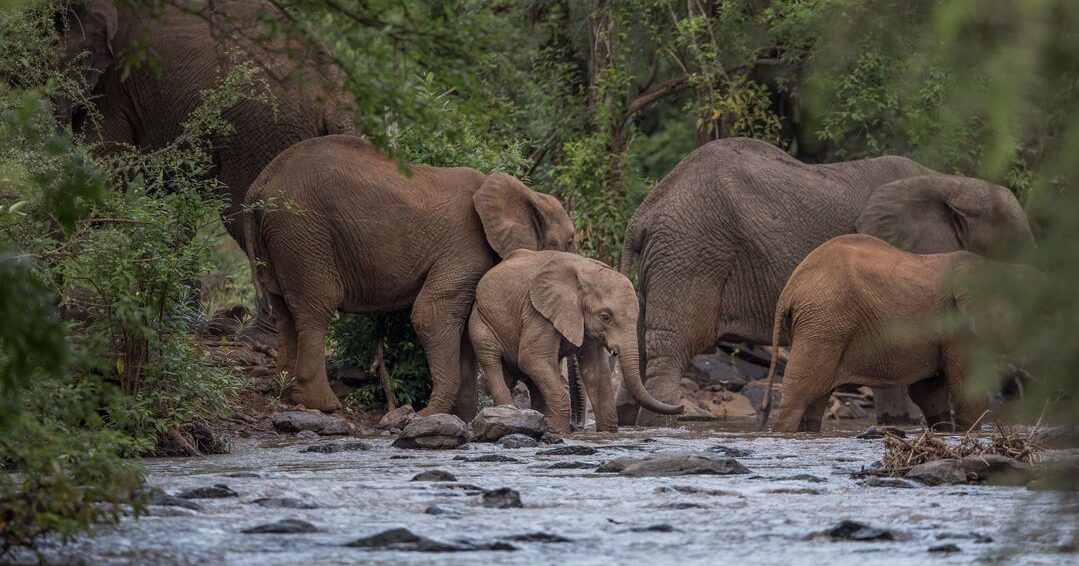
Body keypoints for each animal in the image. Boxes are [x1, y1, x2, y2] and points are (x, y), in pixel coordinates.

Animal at [53, 0, 355, 340]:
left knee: (247, 215)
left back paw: (255, 337)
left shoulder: (115, 85)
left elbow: (99, 174)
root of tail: (335, 98)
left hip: (262, 133)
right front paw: (178, 321)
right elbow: (167, 192)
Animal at [243, 135, 576, 415]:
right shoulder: (465, 248)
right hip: (303, 231)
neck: (524, 192)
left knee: (284, 308)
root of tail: (259, 184)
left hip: (283, 238)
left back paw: (289, 395)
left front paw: (463, 418)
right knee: (316, 306)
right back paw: (324, 405)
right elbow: (431, 314)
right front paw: (433, 415)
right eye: (570, 241)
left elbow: (464, 334)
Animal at [468, 249, 683, 434]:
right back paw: (512, 413)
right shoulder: (537, 311)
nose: (682, 408)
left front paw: (607, 433)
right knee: (492, 360)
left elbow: (596, 371)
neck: (584, 271)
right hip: (480, 321)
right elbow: (532, 358)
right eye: (605, 317)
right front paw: (558, 432)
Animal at [756, 234, 1005, 433]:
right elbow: (965, 387)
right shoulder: (958, 323)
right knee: (799, 396)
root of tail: (788, 291)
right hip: (823, 322)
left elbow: (929, 392)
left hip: (821, 324)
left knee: (817, 398)